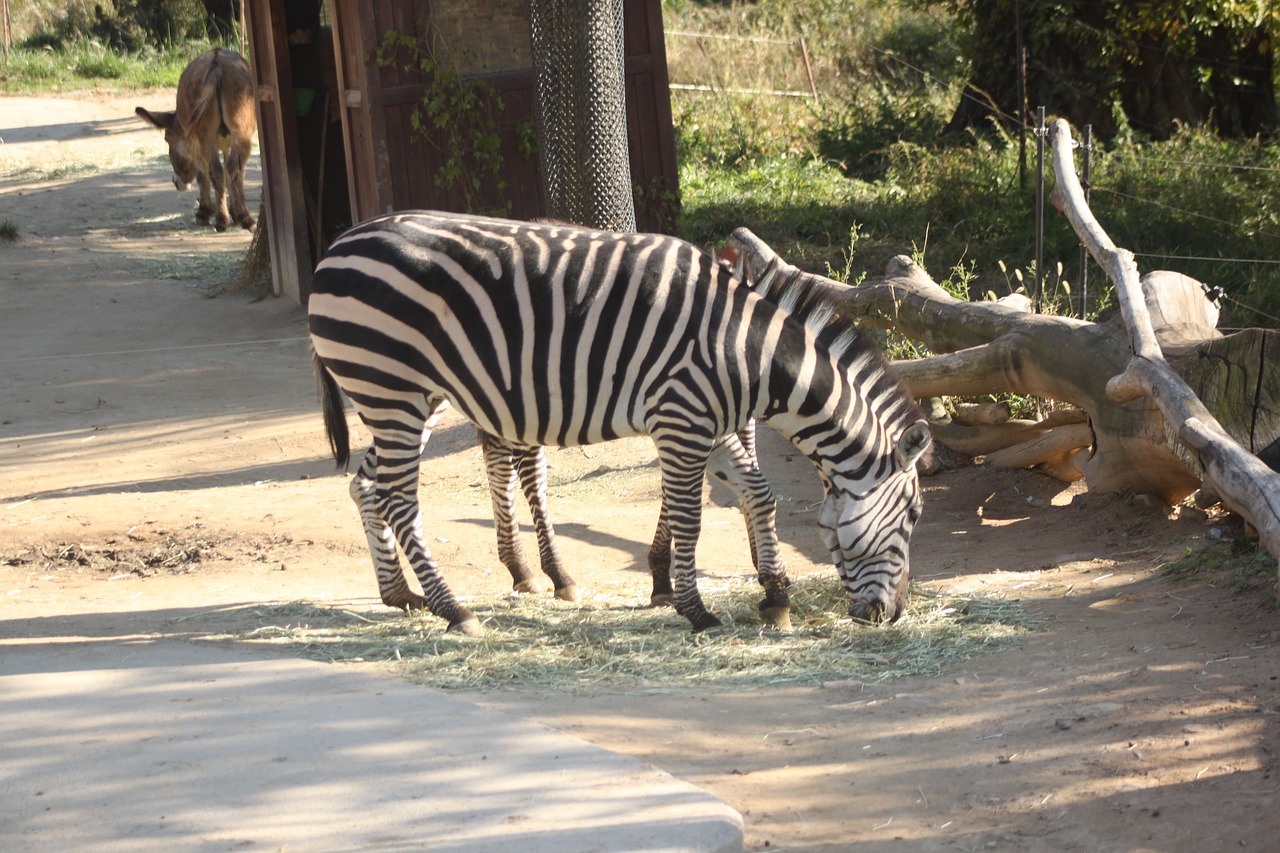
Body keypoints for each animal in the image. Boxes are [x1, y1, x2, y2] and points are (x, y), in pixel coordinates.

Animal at [309, 211, 931, 630]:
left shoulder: (711, 424)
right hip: (392, 386)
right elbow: (689, 517)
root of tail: (336, 244)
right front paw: (695, 610)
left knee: (366, 484)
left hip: (409, 396)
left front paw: (775, 596)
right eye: (914, 516)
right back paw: (454, 609)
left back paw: (400, 596)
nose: (892, 615)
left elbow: (760, 493)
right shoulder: (682, 419)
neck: (745, 351)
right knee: (399, 499)